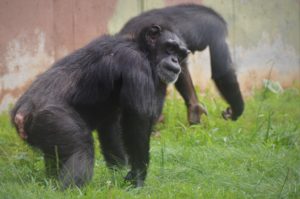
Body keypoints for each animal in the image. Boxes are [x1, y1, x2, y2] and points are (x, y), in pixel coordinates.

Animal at [12, 24, 190, 188]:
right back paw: (72, 189)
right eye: (170, 48)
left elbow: (111, 126)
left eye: (180, 54)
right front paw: (137, 178)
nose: (175, 60)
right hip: (52, 117)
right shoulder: (135, 62)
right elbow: (137, 118)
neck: (143, 50)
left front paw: (119, 172)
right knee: (81, 148)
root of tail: (20, 114)